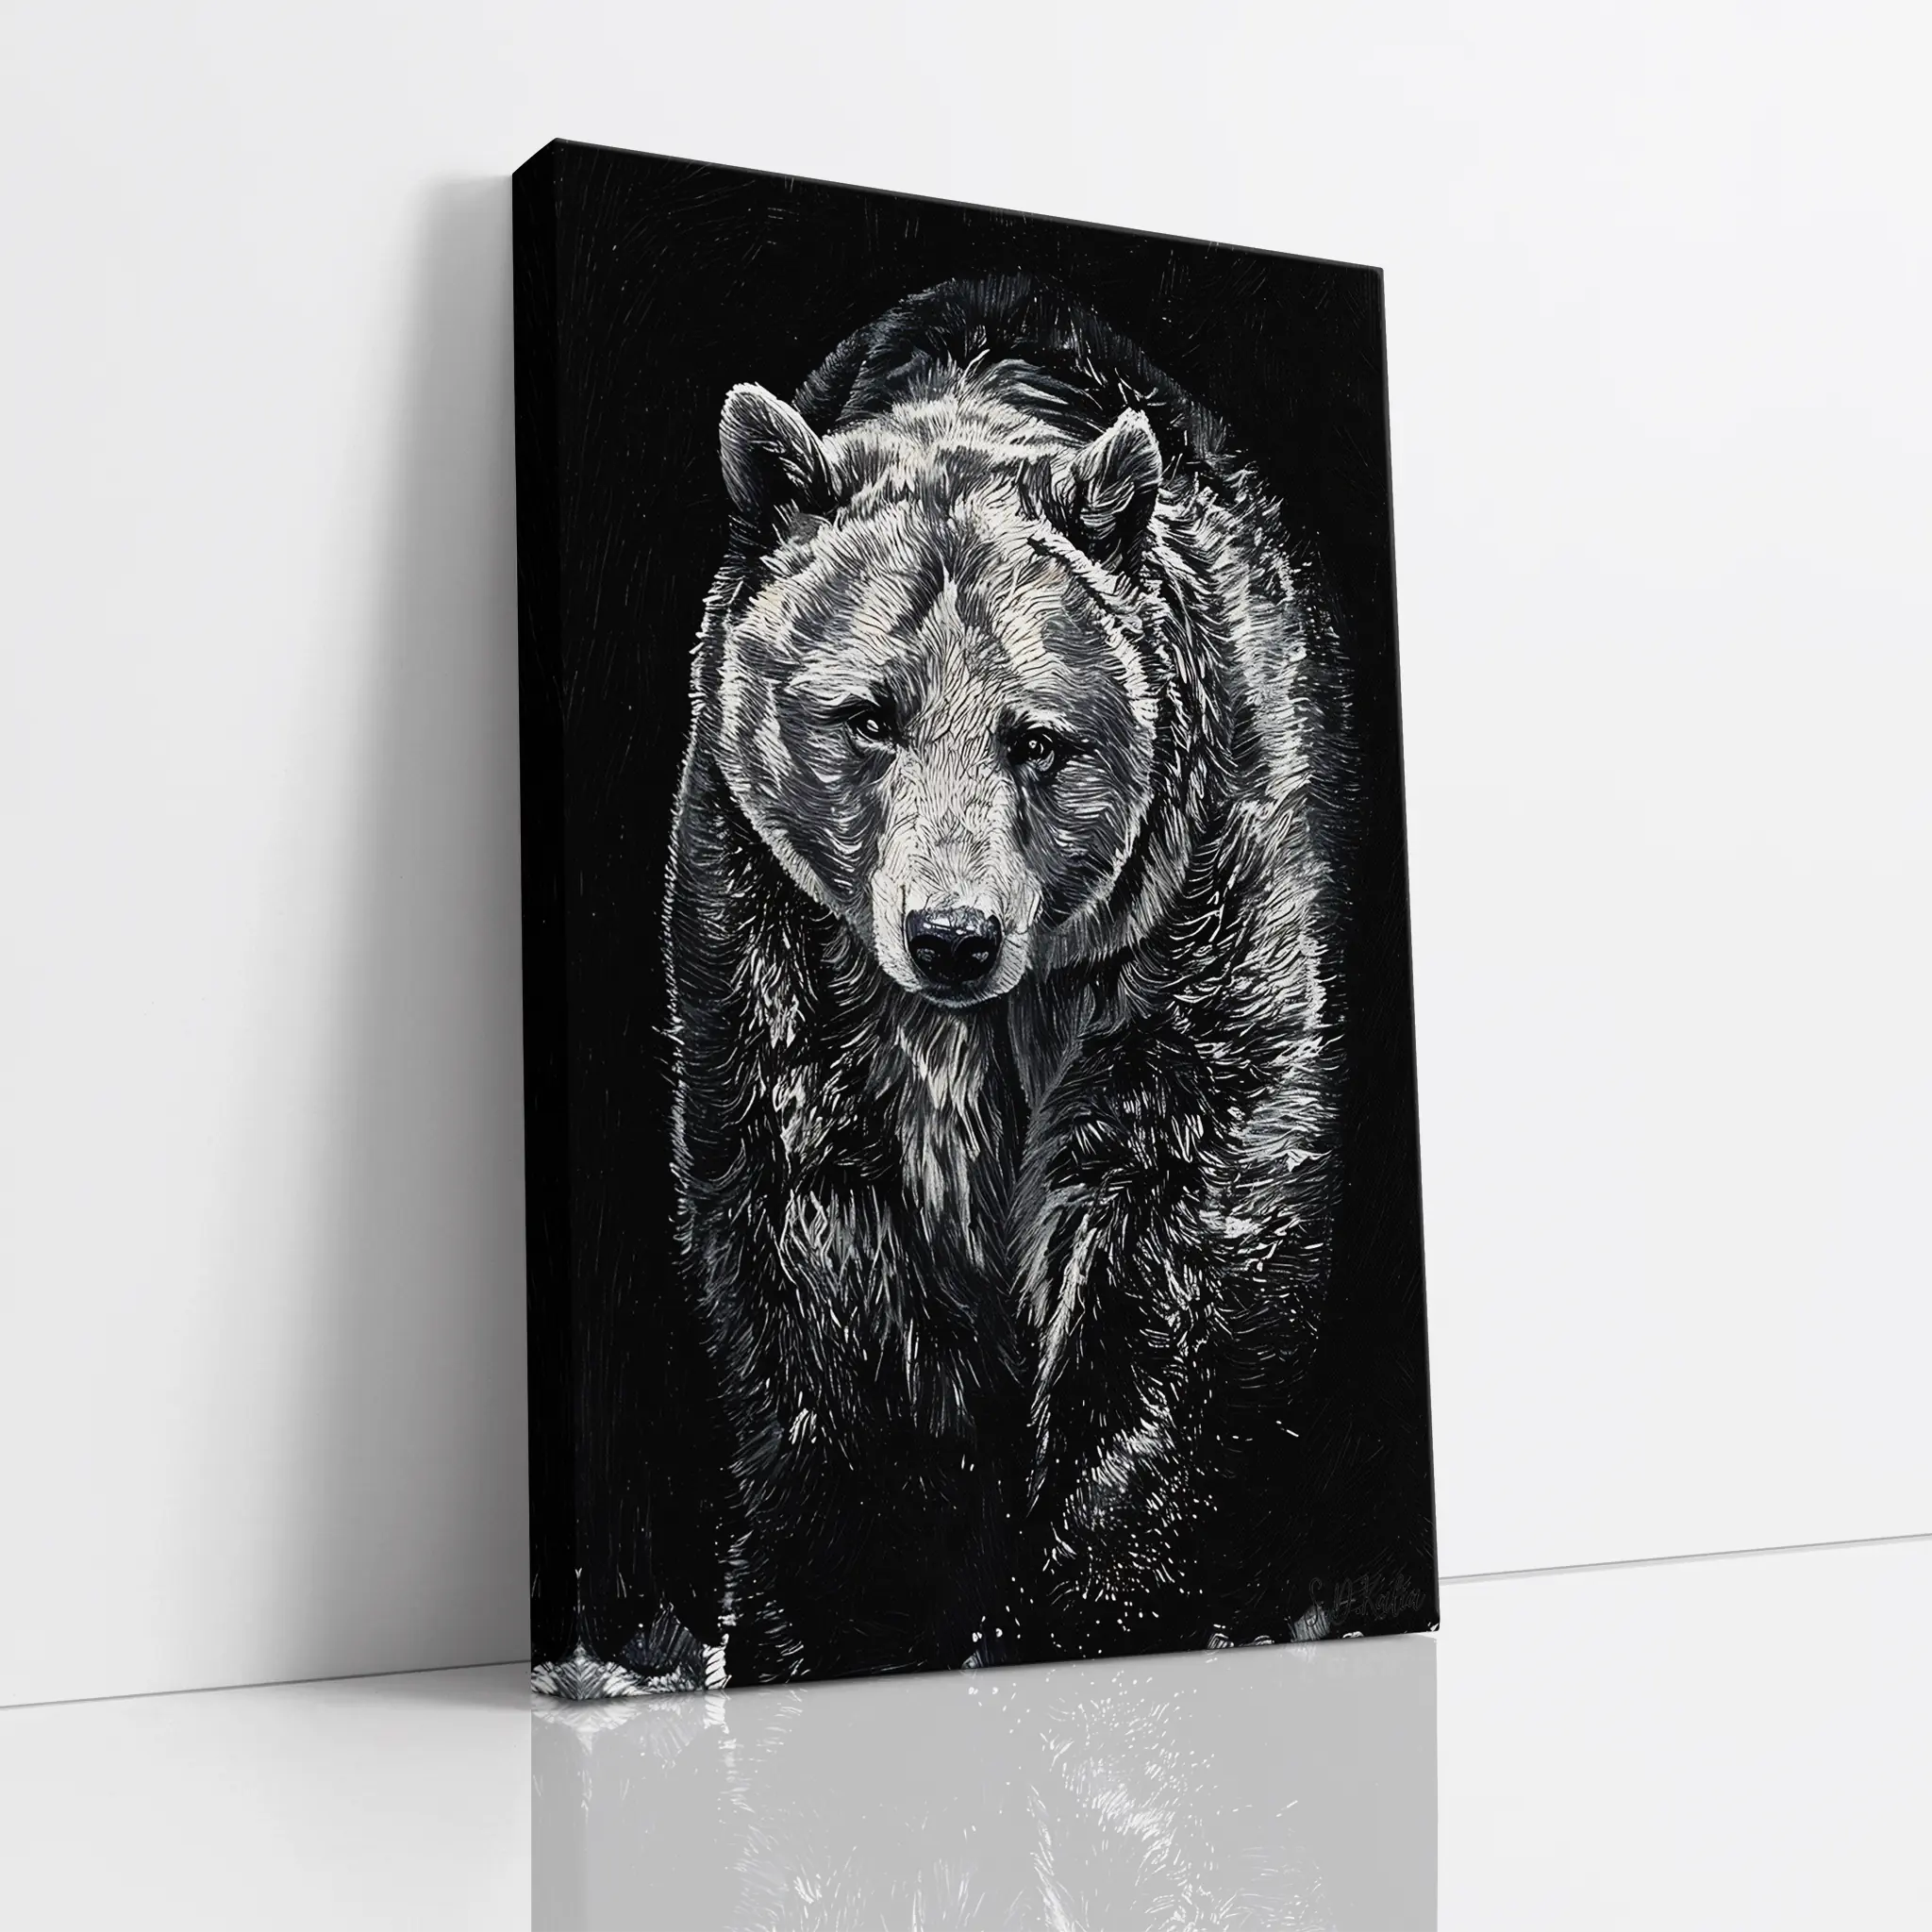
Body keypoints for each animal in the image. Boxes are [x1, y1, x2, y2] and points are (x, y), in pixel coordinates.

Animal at [667, 273, 1353, 1681]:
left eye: (1038, 739)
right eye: (865, 714)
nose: (951, 933)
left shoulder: (1195, 912)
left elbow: (1180, 1233)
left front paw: (1090, 1607)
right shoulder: (770, 926)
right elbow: (817, 1258)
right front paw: (860, 1602)